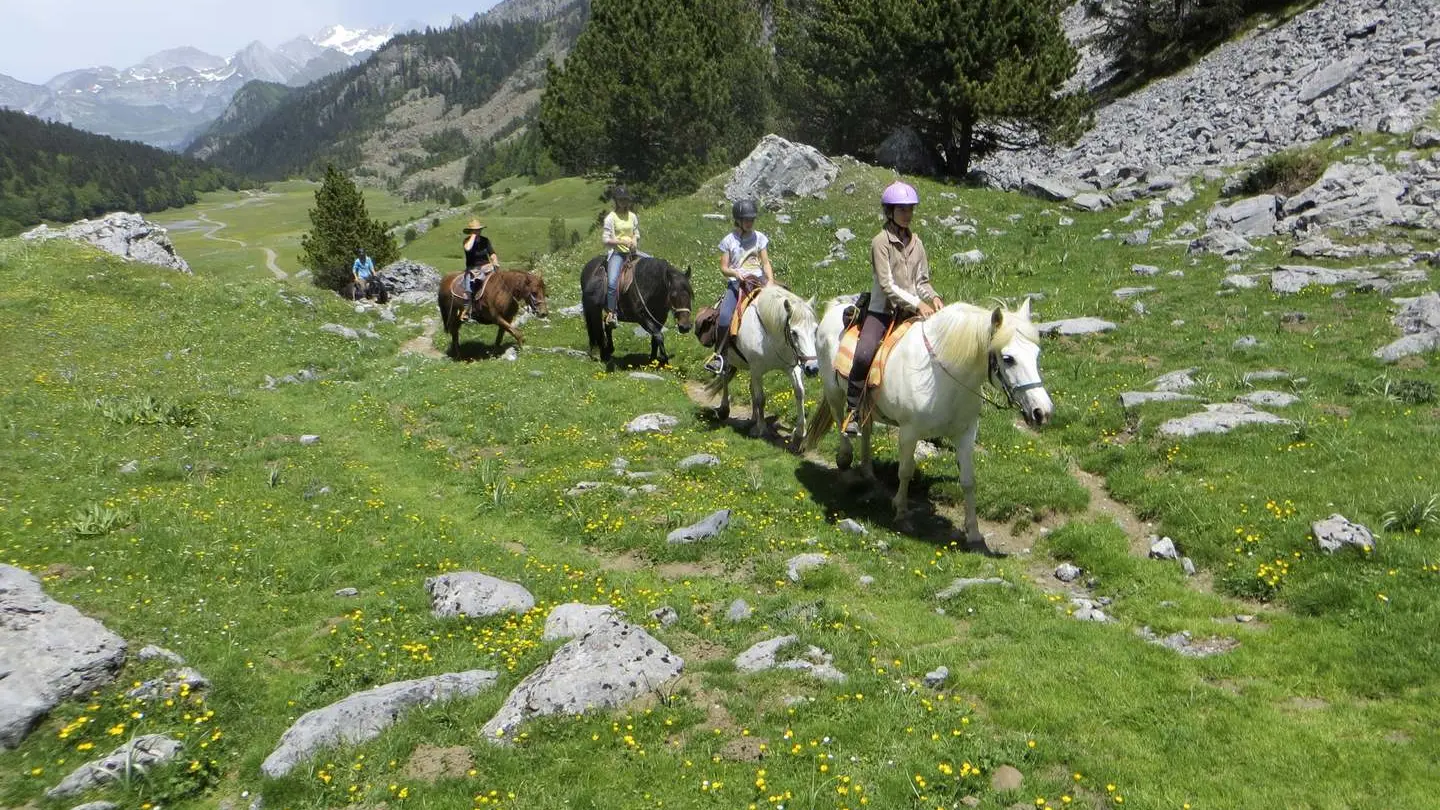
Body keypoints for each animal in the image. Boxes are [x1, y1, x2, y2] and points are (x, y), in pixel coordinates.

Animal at [699, 283, 817, 446]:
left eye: (815, 330)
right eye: (794, 332)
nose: (812, 368)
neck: (771, 335)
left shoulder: (791, 367)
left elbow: (799, 392)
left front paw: (799, 432)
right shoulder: (757, 369)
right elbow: (761, 399)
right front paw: (760, 429)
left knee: (749, 387)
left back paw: (753, 416)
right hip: (728, 358)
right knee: (725, 378)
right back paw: (724, 409)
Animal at [806, 296, 1054, 541]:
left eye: (1036, 354)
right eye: (1008, 358)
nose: (1042, 412)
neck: (942, 378)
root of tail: (834, 307)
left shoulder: (966, 434)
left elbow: (968, 480)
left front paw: (974, 533)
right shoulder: (909, 432)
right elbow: (905, 471)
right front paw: (901, 513)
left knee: (865, 428)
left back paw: (868, 473)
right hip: (834, 392)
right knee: (841, 423)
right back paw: (845, 463)